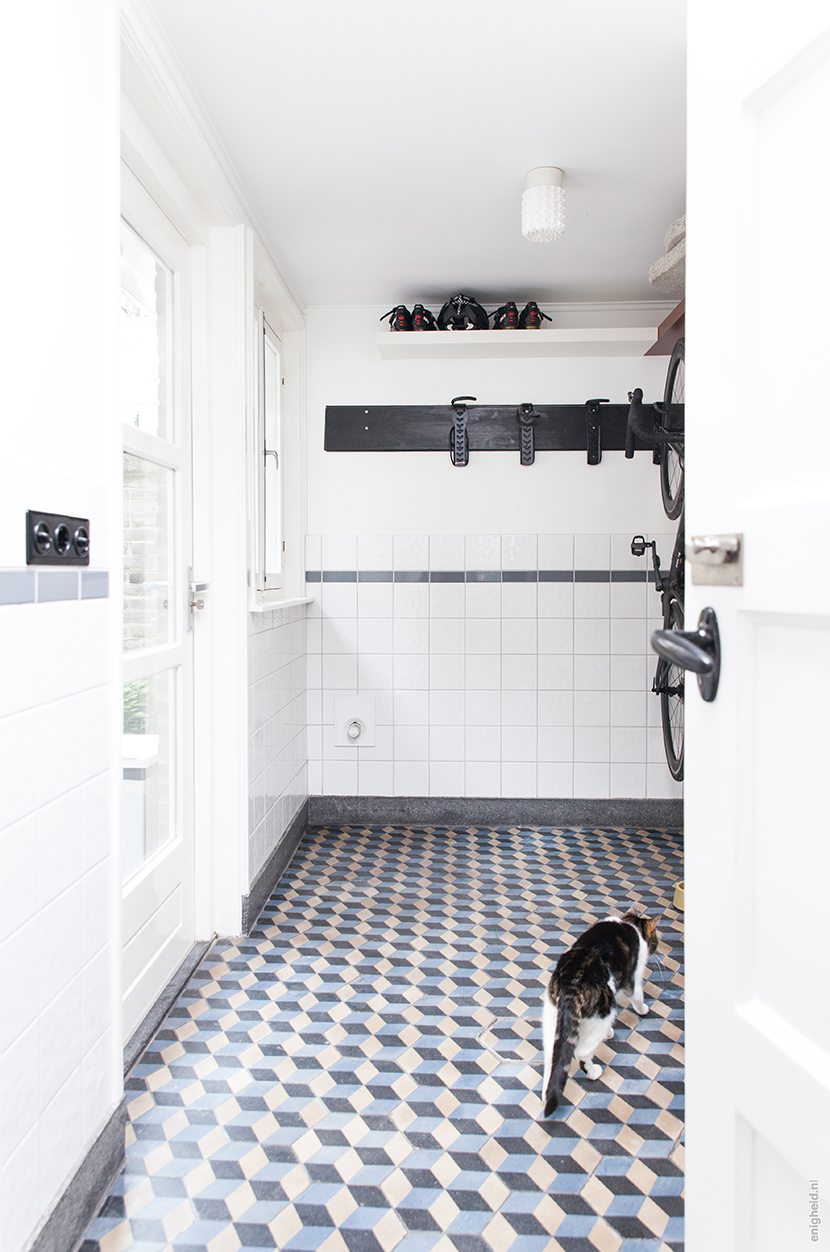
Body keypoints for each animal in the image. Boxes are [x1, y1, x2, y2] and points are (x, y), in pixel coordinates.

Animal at [538, 911, 660, 1116]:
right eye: (656, 939)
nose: (655, 947)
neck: (630, 923)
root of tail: (572, 980)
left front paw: (610, 1032)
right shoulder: (631, 982)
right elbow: (637, 996)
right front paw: (643, 1010)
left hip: (553, 1017)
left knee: (552, 1057)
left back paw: (546, 1094)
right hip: (602, 1014)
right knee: (580, 1053)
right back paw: (594, 1072)